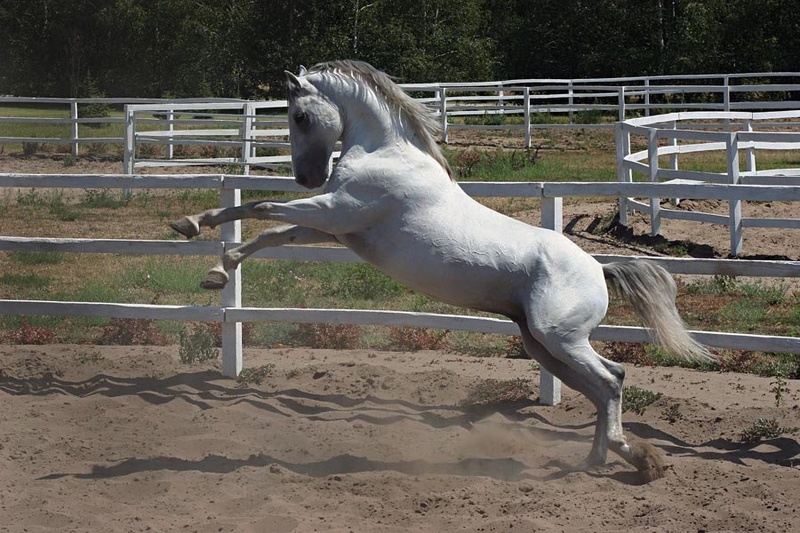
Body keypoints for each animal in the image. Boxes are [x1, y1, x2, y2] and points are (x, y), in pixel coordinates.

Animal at [170, 60, 711, 482]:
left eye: (299, 115)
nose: (306, 176)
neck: (386, 154)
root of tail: (599, 269)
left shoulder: (335, 210)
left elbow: (260, 208)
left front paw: (194, 228)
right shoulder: (336, 226)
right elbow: (268, 234)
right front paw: (216, 267)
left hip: (559, 338)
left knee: (612, 382)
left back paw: (620, 457)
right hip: (545, 344)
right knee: (604, 385)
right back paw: (610, 459)